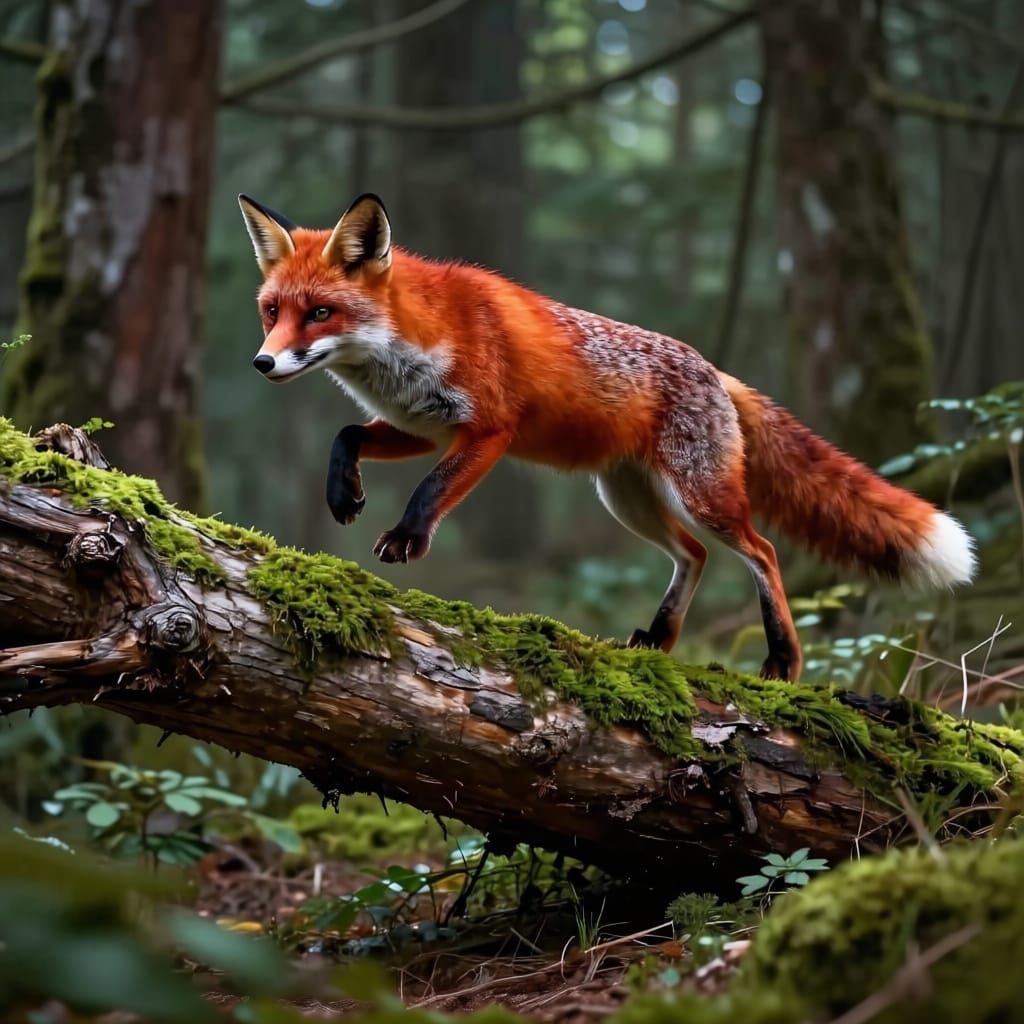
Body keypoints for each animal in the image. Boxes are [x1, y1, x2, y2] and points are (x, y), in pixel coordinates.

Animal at [238, 191, 976, 682]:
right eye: (272, 312)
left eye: (320, 313)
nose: (262, 364)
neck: (403, 347)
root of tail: (714, 370)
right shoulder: (421, 425)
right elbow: (344, 435)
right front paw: (343, 494)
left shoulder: (488, 431)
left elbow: (430, 489)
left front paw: (406, 538)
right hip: (626, 501)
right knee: (694, 556)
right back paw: (660, 637)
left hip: (701, 496)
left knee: (761, 552)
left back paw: (782, 658)